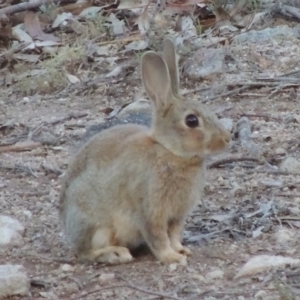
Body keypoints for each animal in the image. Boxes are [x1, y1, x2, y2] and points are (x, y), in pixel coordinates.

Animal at [59, 38, 231, 264]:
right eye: (192, 120)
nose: (227, 139)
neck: (169, 151)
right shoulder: (149, 211)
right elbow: (158, 237)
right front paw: (171, 257)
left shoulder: (176, 217)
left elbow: (174, 234)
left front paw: (181, 250)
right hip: (95, 225)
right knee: (85, 252)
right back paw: (116, 253)